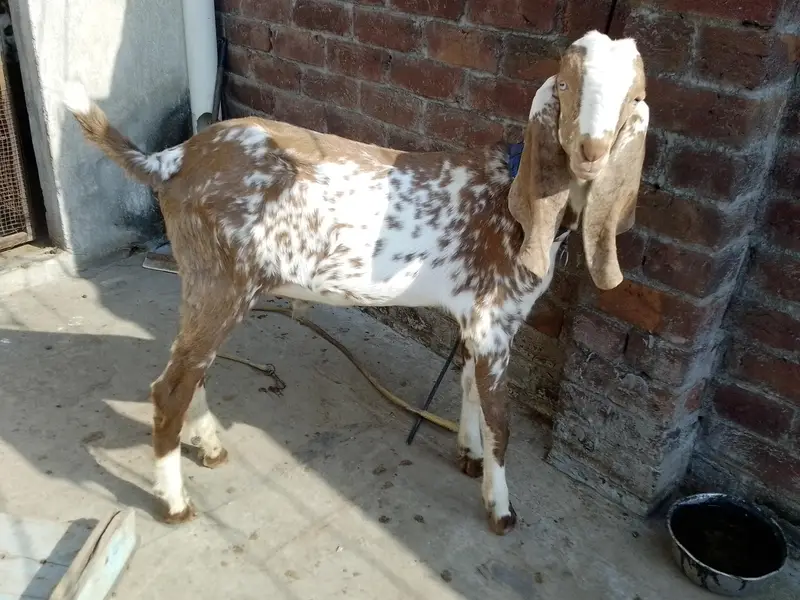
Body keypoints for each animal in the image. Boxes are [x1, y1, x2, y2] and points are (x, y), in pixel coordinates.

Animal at [64, 30, 648, 536]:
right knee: (170, 388)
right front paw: (500, 509)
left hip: (206, 282)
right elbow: (502, 423)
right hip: (221, 282)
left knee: (190, 370)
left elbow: (467, 386)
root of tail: (172, 159)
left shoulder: (474, 317)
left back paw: (207, 447)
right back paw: (175, 503)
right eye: (567, 87)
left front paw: (468, 451)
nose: (592, 151)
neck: (513, 196)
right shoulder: (495, 321)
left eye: (634, 97)